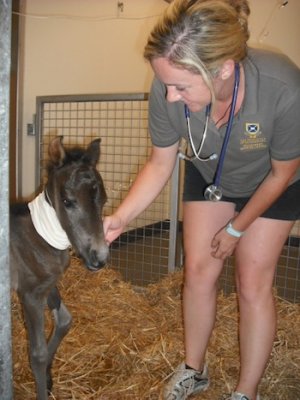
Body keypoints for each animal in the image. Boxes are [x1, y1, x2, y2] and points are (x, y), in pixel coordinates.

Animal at [10, 136, 109, 398]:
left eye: (103, 199)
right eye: (67, 201)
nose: (99, 257)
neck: (39, 237)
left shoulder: (48, 285)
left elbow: (65, 320)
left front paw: (48, 378)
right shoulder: (30, 294)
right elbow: (38, 353)